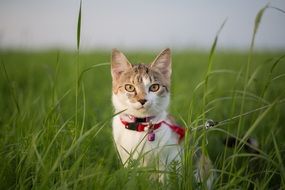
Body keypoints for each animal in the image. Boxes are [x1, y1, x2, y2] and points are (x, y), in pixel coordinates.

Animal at [110, 47, 212, 186]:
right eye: (129, 87)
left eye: (154, 87)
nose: (142, 100)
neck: (141, 126)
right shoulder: (126, 158)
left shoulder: (173, 155)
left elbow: (168, 179)